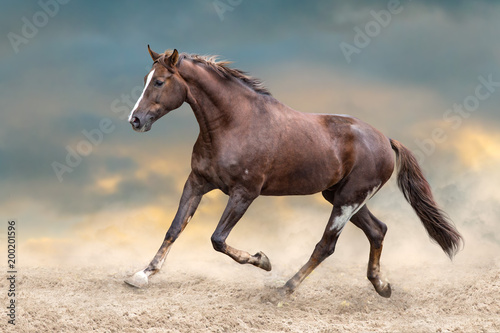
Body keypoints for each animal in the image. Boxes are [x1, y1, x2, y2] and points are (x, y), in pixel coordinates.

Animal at [124, 44, 460, 296]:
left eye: (159, 81)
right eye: (145, 78)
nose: (135, 121)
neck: (234, 123)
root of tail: (385, 139)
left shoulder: (244, 193)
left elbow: (217, 239)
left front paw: (262, 260)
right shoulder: (196, 183)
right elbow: (174, 228)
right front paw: (141, 275)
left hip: (347, 200)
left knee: (326, 246)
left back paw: (283, 289)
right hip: (341, 197)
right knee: (378, 230)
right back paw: (381, 286)